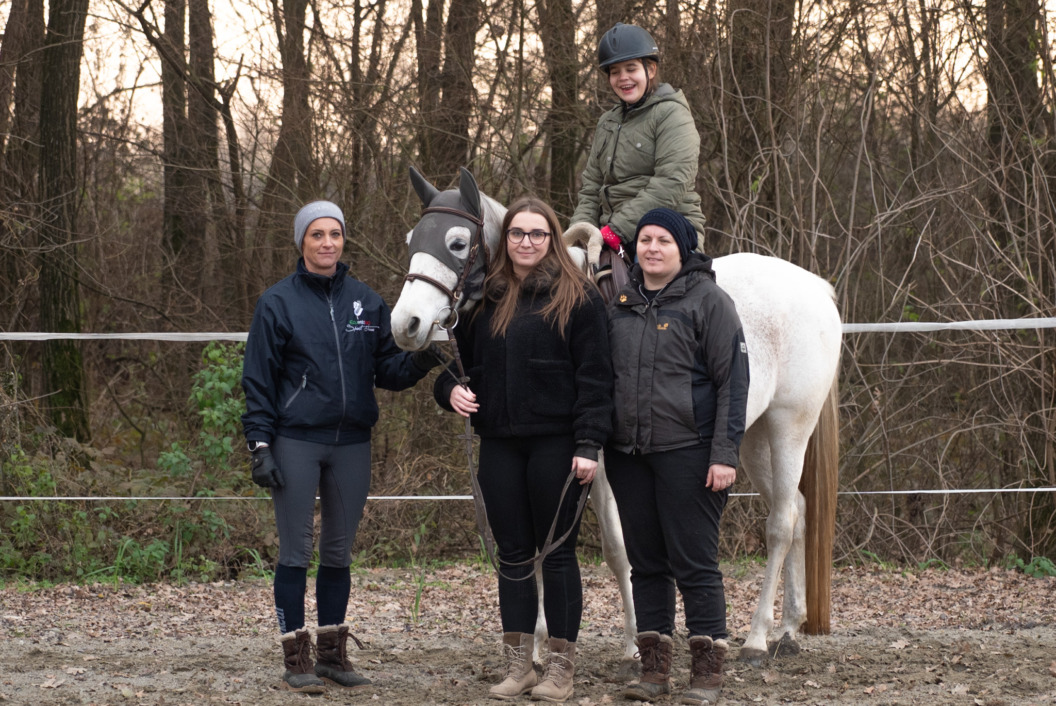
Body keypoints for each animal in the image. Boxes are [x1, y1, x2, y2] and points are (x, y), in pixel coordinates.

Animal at [392, 166, 844, 666]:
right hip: (749, 440)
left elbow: (615, 548)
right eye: (412, 238)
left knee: (781, 524)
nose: (405, 324)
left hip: (789, 427)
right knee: (798, 509)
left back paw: (758, 636)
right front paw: (540, 643)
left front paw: (631, 643)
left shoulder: (594, 463)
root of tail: (815, 289)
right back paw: (789, 627)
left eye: (456, 243)